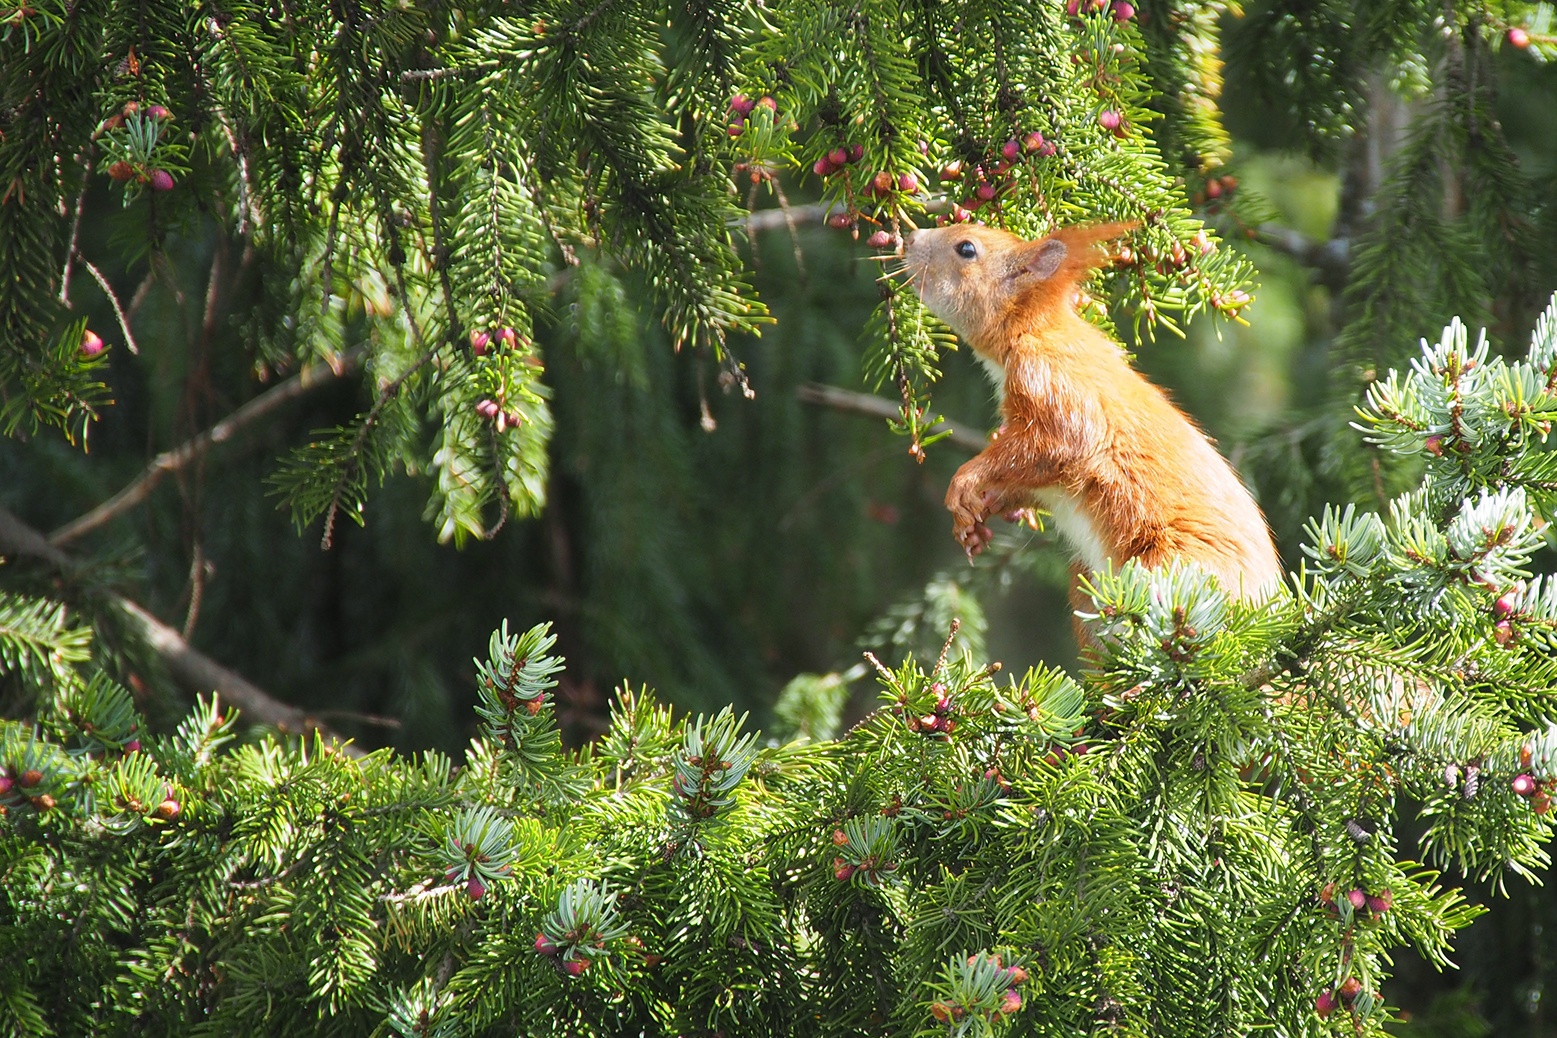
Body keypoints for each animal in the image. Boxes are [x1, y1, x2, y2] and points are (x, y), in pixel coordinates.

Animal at [903, 219, 1276, 610]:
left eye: (966, 248)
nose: (909, 238)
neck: (1034, 330)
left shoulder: (1055, 385)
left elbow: (1055, 446)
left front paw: (965, 480)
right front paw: (978, 515)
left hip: (1172, 566)